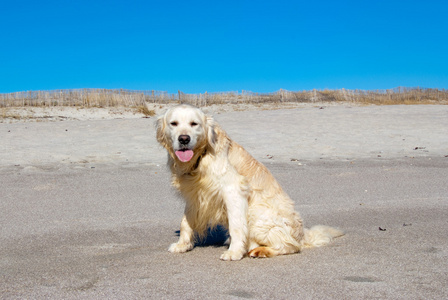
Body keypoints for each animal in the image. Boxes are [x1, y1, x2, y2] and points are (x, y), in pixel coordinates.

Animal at [156, 105, 344, 260]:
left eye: (194, 124)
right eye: (174, 123)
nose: (184, 139)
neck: (201, 158)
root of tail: (302, 234)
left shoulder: (233, 190)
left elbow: (236, 226)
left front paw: (234, 252)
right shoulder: (194, 194)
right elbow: (185, 221)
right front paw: (182, 245)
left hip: (257, 214)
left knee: (292, 246)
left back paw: (261, 250)